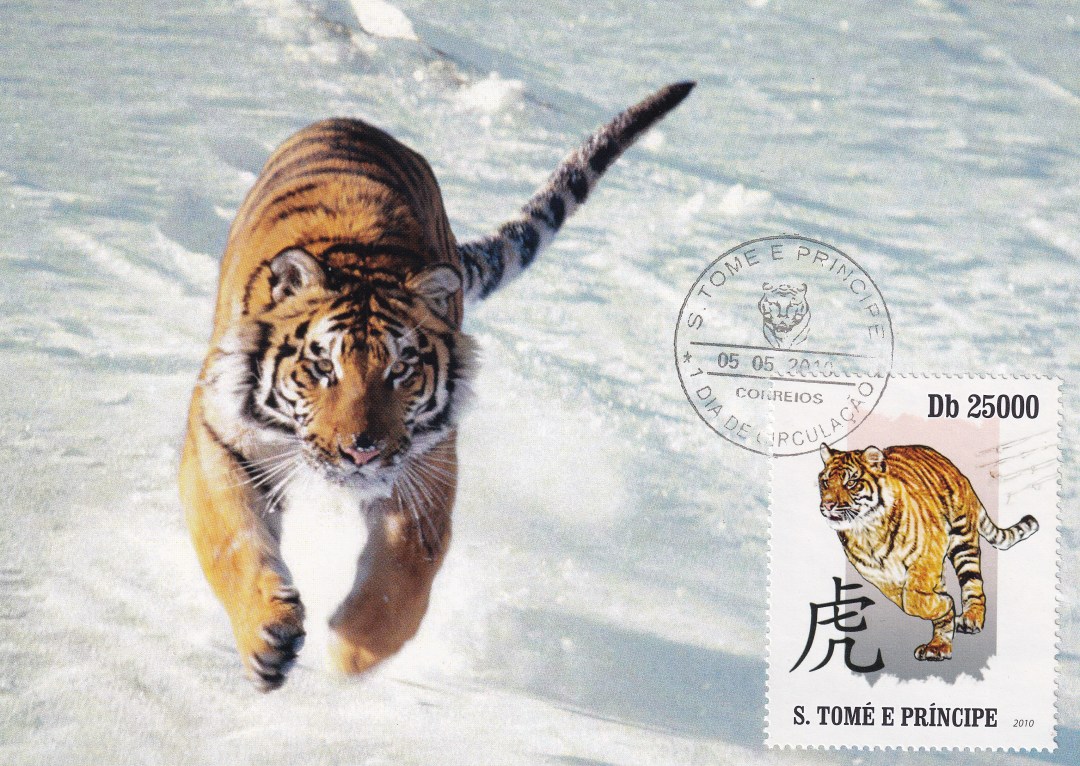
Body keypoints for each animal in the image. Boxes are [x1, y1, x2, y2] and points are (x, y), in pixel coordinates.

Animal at [179, 81, 694, 691]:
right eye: (323, 367)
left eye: (401, 369)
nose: (361, 450)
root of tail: (356, 121)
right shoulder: (220, 436)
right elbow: (231, 540)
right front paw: (268, 639)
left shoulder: (426, 464)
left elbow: (402, 578)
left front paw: (351, 654)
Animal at [816, 443, 1038, 662]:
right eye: (825, 482)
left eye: (851, 482)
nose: (827, 505)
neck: (866, 533)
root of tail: (955, 470)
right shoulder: (880, 577)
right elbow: (907, 601)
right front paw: (944, 611)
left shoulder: (929, 553)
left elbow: (913, 599)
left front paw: (945, 604)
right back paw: (940, 642)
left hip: (962, 541)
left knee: (973, 583)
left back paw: (969, 620)